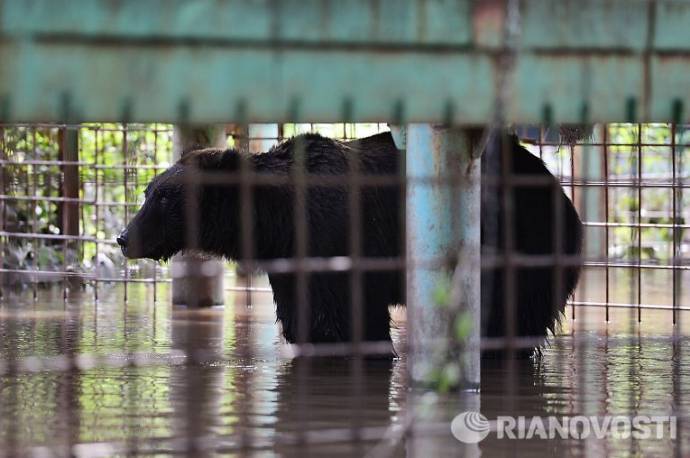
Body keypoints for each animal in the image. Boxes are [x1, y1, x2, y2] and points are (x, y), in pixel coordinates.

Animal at [118, 131, 580, 356]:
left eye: (163, 197)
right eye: (148, 191)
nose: (124, 238)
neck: (276, 218)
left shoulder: (336, 237)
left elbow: (345, 319)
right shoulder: (291, 258)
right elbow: (307, 318)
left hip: (527, 240)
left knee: (510, 314)